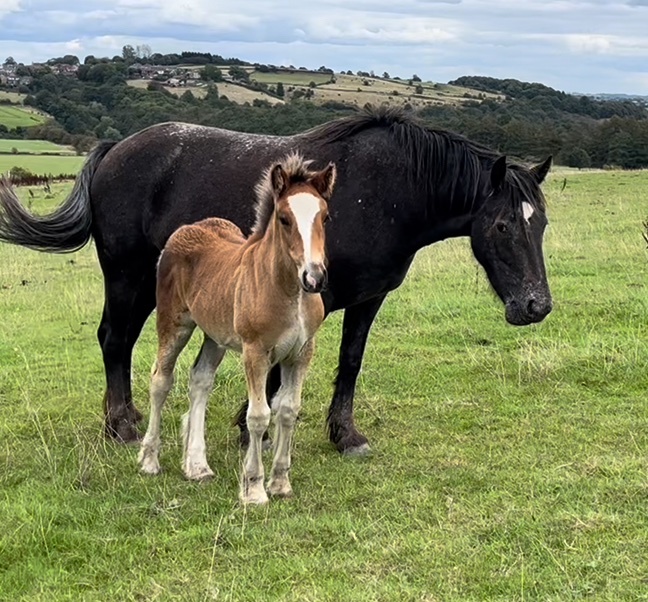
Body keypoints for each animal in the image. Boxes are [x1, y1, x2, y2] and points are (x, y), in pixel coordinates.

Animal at [0, 105, 553, 456]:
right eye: (503, 226)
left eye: (541, 223)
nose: (537, 307)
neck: (390, 191)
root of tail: (117, 149)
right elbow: (271, 367)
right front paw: (253, 432)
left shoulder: (368, 298)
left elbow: (351, 362)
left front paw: (345, 436)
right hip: (126, 273)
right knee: (115, 340)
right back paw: (121, 427)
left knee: (117, 340)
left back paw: (127, 417)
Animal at [138, 153, 335, 504]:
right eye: (284, 219)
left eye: (324, 217)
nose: (314, 278)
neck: (289, 291)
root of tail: (187, 229)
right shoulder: (254, 351)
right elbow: (258, 416)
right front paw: (253, 488)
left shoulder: (301, 353)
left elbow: (289, 410)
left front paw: (281, 483)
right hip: (174, 324)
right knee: (161, 380)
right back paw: (149, 460)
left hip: (214, 335)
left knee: (200, 380)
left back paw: (197, 466)